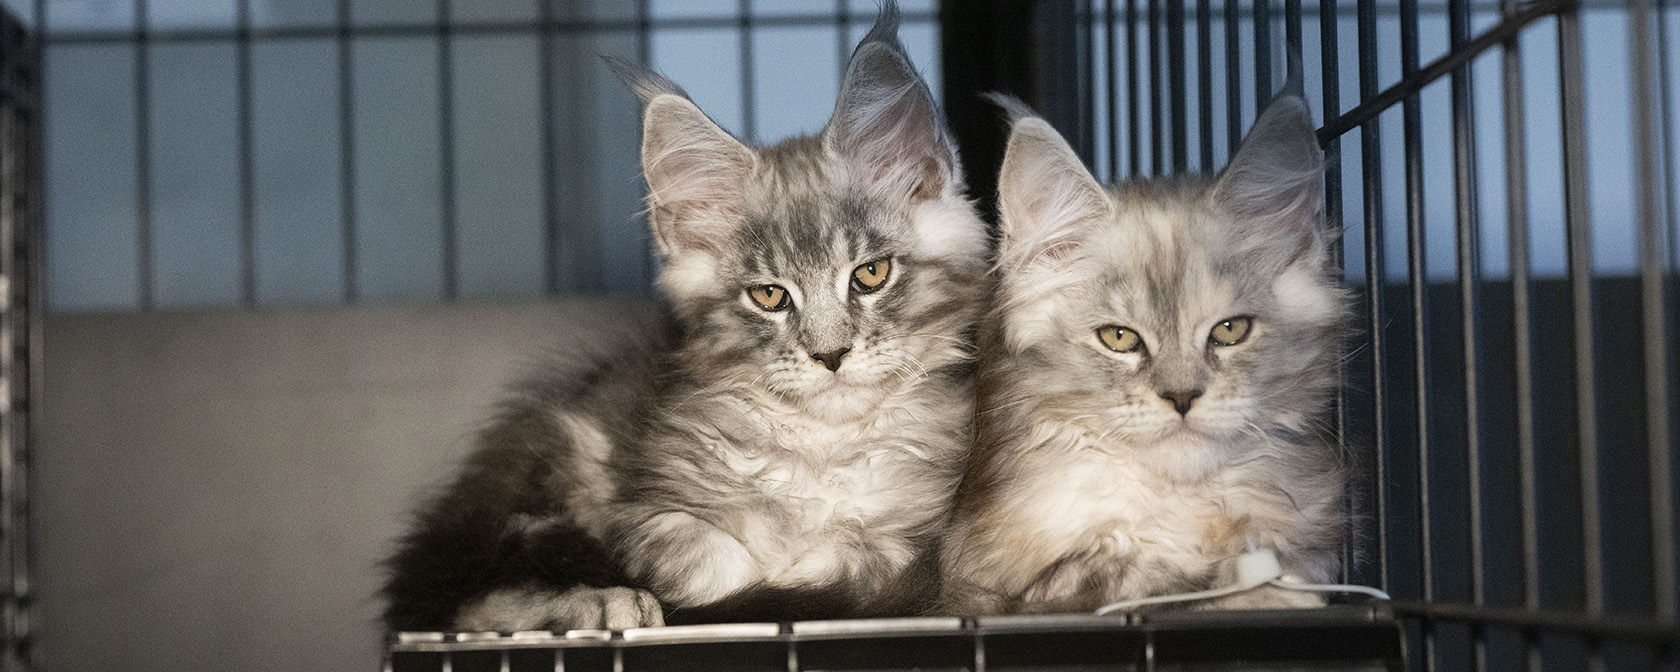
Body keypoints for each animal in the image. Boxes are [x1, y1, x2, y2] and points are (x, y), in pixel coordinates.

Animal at [381, 2, 987, 631]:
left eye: (870, 274)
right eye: (769, 296)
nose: (830, 354)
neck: (821, 451)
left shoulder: (912, 535)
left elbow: (849, 560)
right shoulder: (639, 504)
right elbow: (709, 562)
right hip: (535, 483)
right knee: (461, 601)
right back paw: (599, 603)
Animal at [947, 91, 1350, 618]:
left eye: (1230, 330)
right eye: (1119, 337)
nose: (1181, 397)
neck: (1179, 509)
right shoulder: (982, 586)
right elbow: (1127, 578)